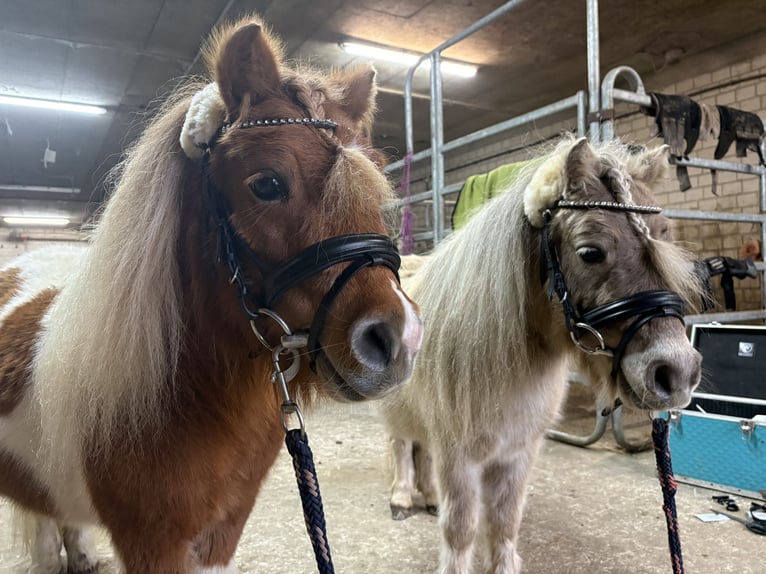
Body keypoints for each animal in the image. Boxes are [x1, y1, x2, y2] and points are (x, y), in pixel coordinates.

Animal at [0, 16, 422, 574]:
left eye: (376, 192)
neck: (185, 392)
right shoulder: (152, 544)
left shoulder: (223, 532)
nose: (400, 339)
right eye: (266, 184)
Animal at [381, 137, 703, 574]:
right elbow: (461, 529)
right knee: (401, 445)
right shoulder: (459, 457)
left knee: (421, 449)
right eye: (590, 251)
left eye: (665, 234)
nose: (678, 372)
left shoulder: (518, 452)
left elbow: (504, 520)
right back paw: (401, 497)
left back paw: (428, 497)